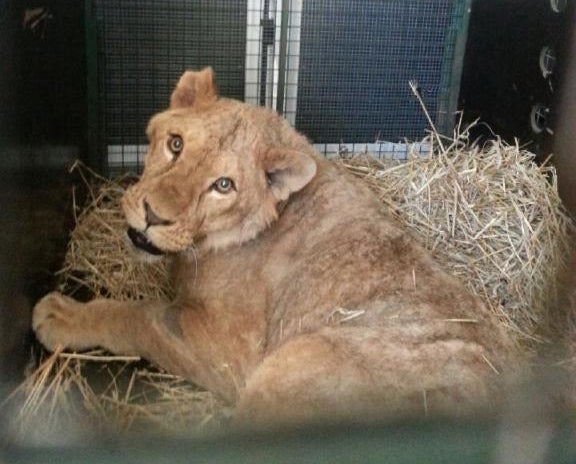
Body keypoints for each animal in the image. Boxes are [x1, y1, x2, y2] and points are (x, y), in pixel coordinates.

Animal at [32, 67, 516, 426]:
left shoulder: (229, 354)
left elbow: (141, 317)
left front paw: (63, 315)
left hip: (291, 365)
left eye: (223, 186)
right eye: (175, 144)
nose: (153, 215)